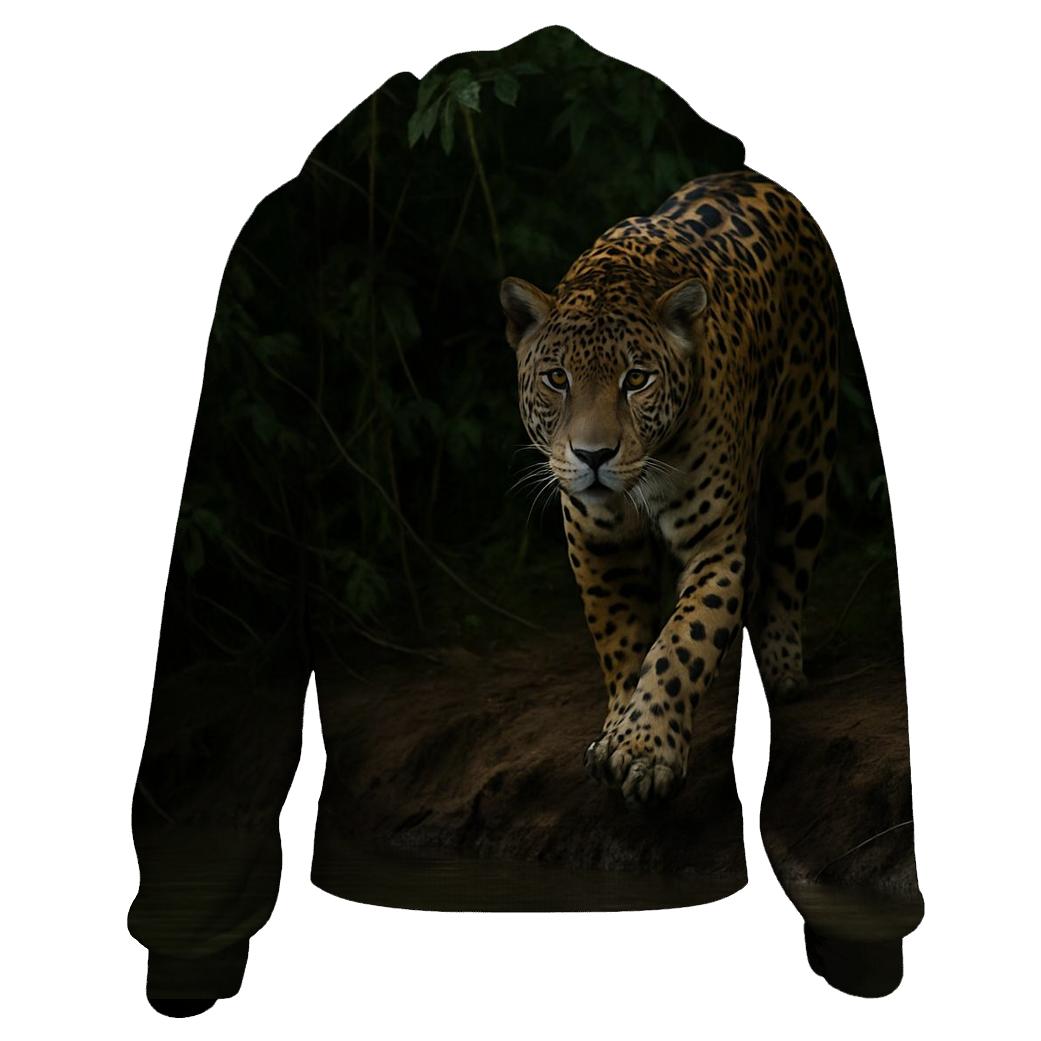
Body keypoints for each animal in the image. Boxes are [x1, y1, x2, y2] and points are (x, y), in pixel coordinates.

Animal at [499, 168, 841, 808]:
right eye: (557, 378)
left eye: (637, 380)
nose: (594, 456)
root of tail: (751, 175)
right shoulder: (600, 545)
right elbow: (622, 644)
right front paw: (618, 729)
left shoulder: (718, 546)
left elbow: (683, 643)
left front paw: (645, 750)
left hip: (806, 447)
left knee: (791, 561)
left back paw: (783, 669)